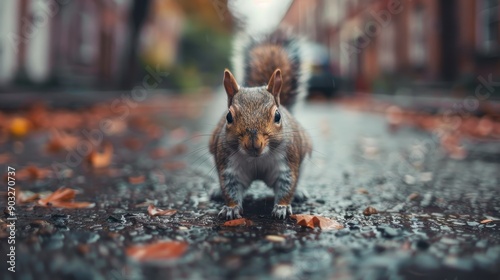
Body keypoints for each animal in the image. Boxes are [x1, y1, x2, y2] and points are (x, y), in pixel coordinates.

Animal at [208, 30, 310, 219]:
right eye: (228, 117)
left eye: (277, 116)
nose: (253, 143)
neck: (257, 159)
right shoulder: (229, 166)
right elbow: (230, 187)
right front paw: (231, 208)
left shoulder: (287, 162)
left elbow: (287, 184)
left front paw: (282, 207)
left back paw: (299, 192)